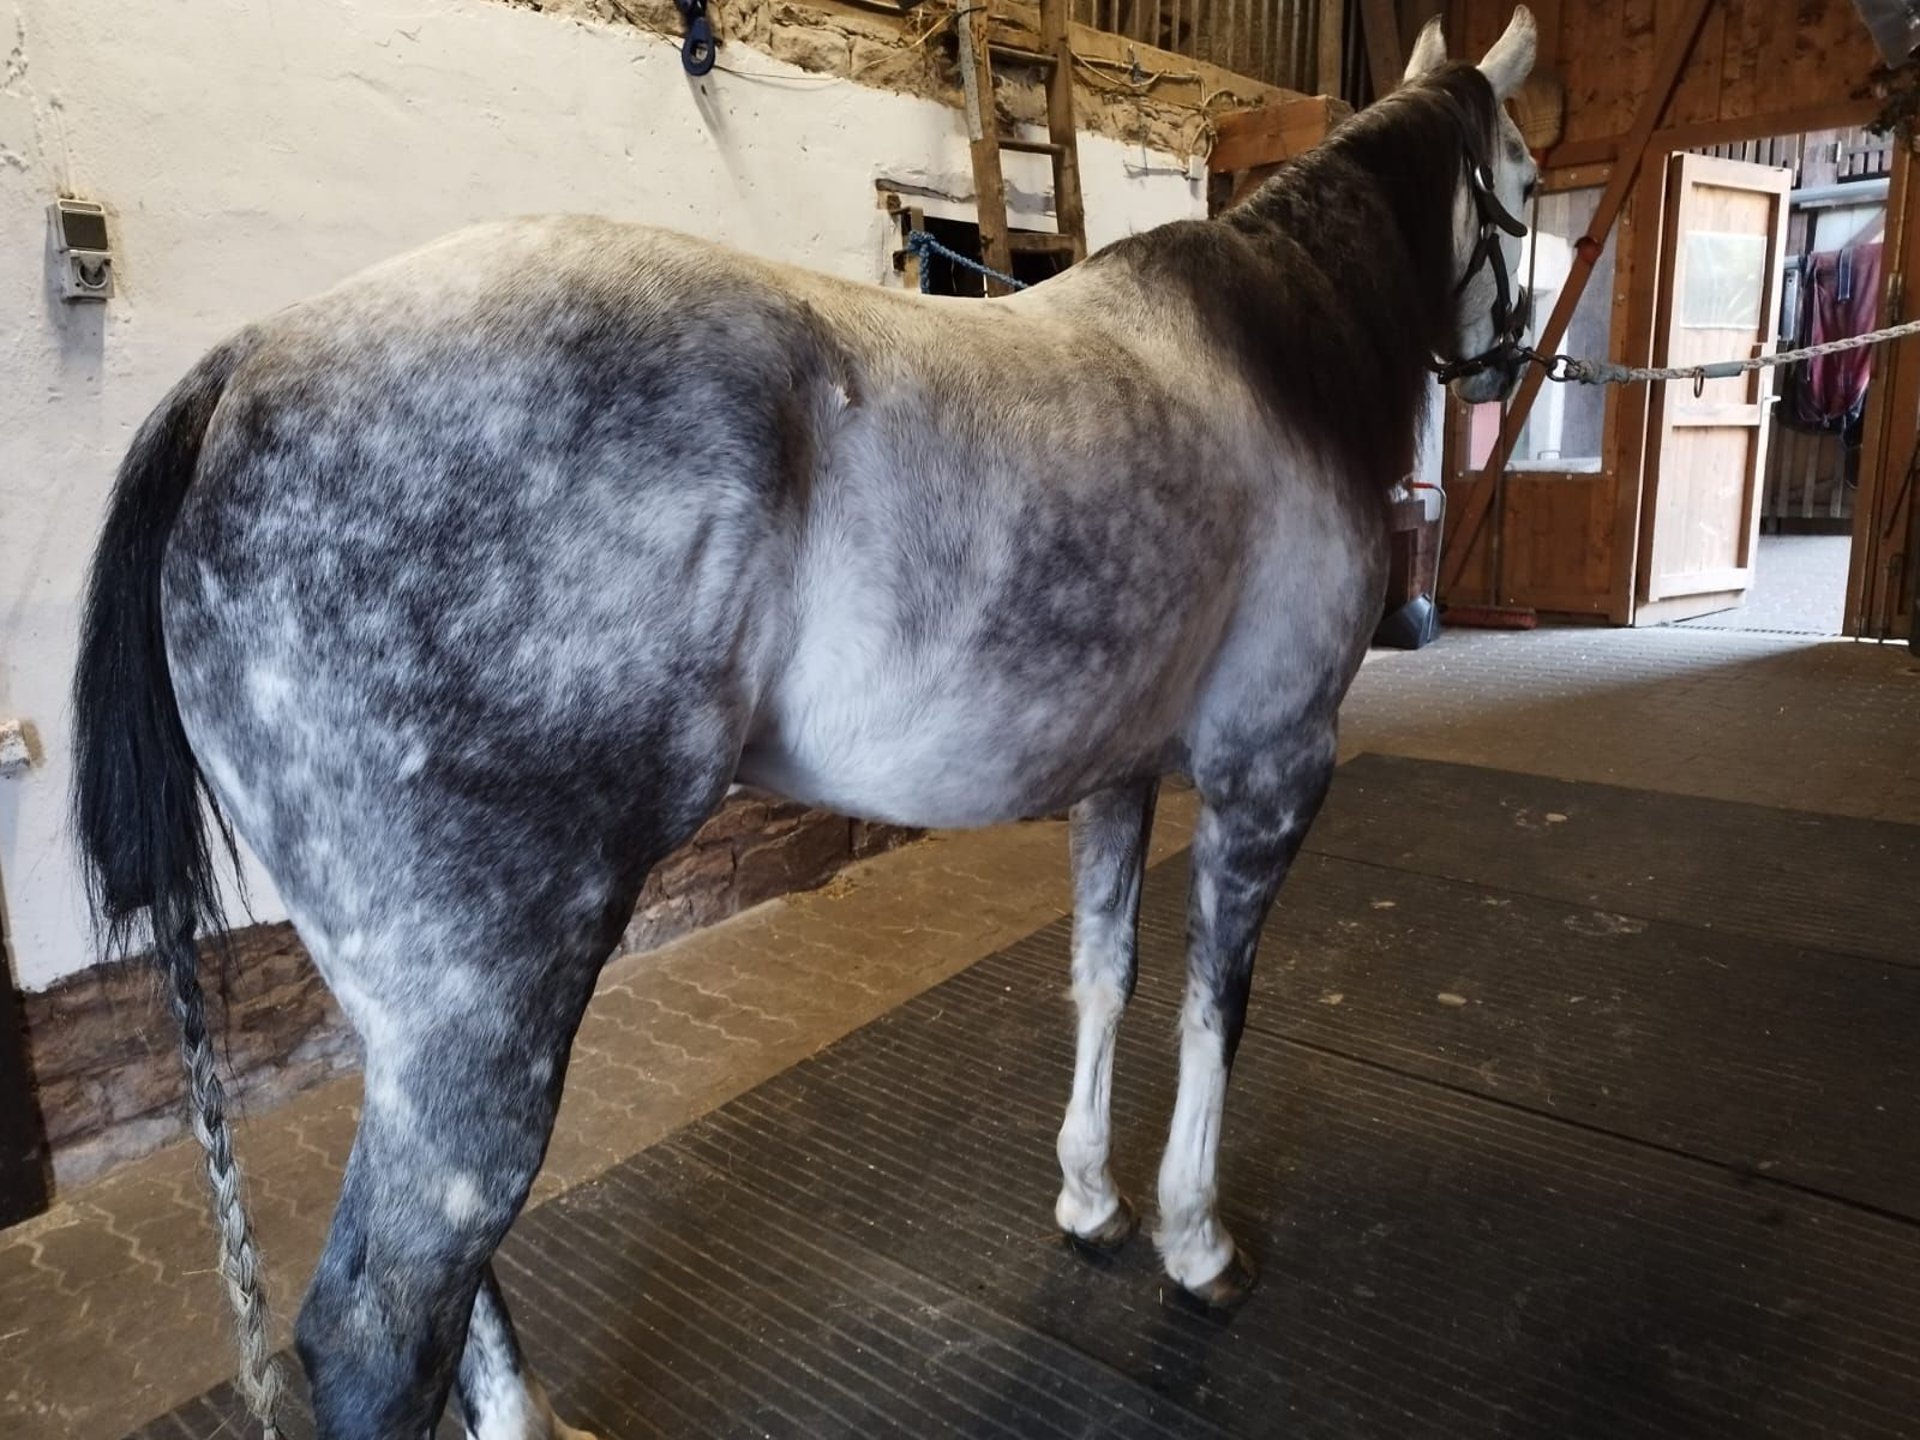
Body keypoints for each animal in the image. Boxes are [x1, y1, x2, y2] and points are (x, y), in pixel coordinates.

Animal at [73, 10, 1537, 1437]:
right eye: (1523, 186)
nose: (1506, 367)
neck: (1274, 353)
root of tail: (244, 367)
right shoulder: (1269, 773)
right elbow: (1213, 1005)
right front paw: (1198, 1244)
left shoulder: (1118, 777)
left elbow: (1105, 976)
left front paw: (1091, 1202)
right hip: (485, 991)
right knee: (386, 1319)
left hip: (409, 1008)